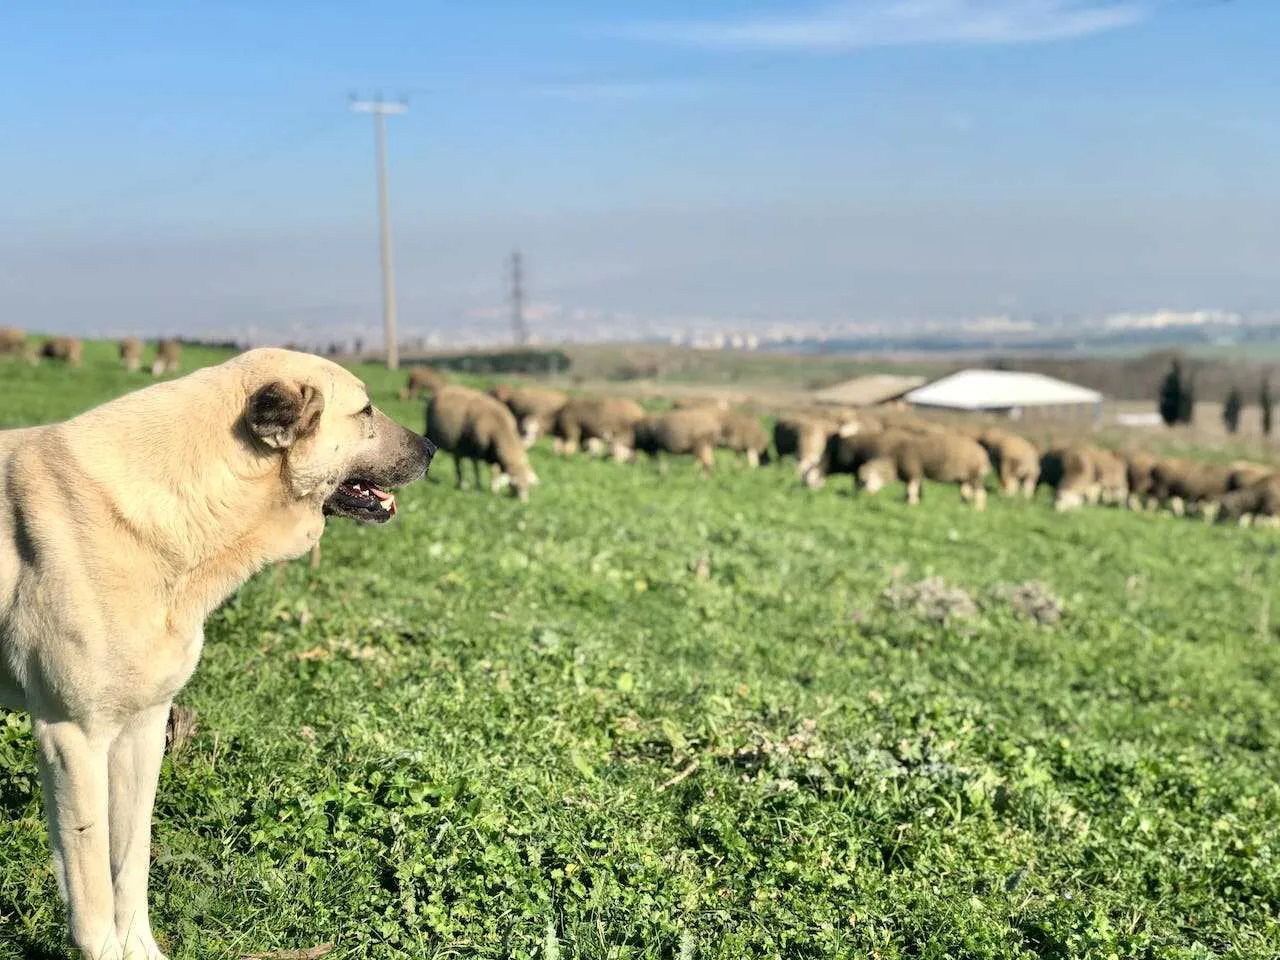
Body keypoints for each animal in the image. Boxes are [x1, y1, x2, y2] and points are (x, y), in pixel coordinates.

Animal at [0, 350, 435, 957]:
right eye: (366, 409)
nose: (433, 447)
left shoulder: (142, 730)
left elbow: (130, 863)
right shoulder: (73, 738)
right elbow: (92, 892)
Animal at [803, 430, 993, 512]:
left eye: (810, 479)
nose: (809, 492)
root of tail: (983, 455)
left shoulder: (912, 470)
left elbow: (912, 488)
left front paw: (912, 503)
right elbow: (913, 488)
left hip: (974, 475)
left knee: (980, 492)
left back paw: (978, 508)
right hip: (966, 477)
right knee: (966, 491)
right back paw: (963, 505)